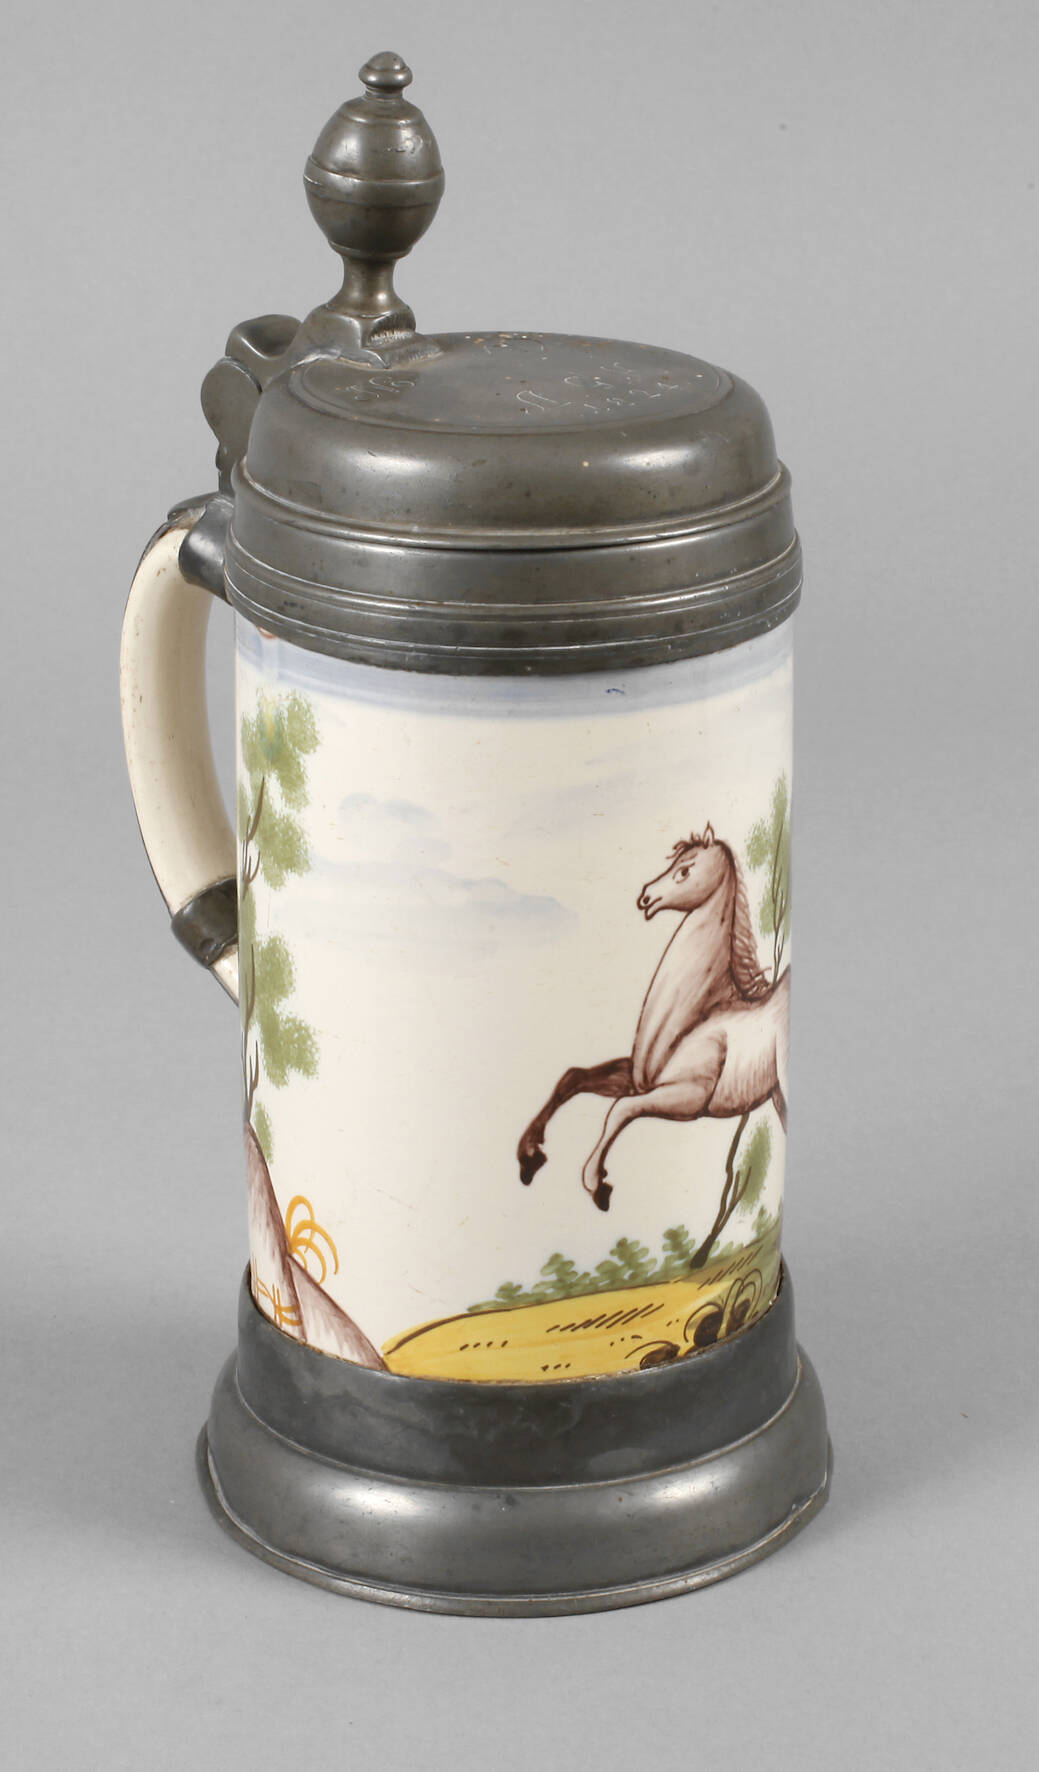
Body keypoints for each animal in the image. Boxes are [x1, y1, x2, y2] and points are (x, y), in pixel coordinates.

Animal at [516, 823, 789, 1211]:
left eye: (685, 870)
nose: (645, 897)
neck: (694, 1022)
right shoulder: (637, 1078)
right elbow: (573, 1078)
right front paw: (529, 1156)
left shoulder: (688, 1098)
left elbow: (619, 1110)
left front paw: (597, 1185)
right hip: (776, 1095)